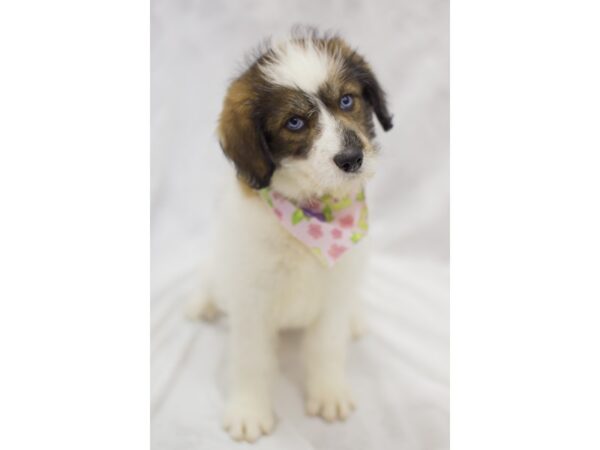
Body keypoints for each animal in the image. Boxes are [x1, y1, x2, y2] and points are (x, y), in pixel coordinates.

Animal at [189, 29, 394, 442]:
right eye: (295, 123)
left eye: (347, 100)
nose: (352, 159)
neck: (312, 215)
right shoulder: (250, 300)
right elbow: (251, 359)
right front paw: (249, 410)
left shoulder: (335, 292)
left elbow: (327, 347)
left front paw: (329, 393)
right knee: (210, 276)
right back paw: (201, 302)